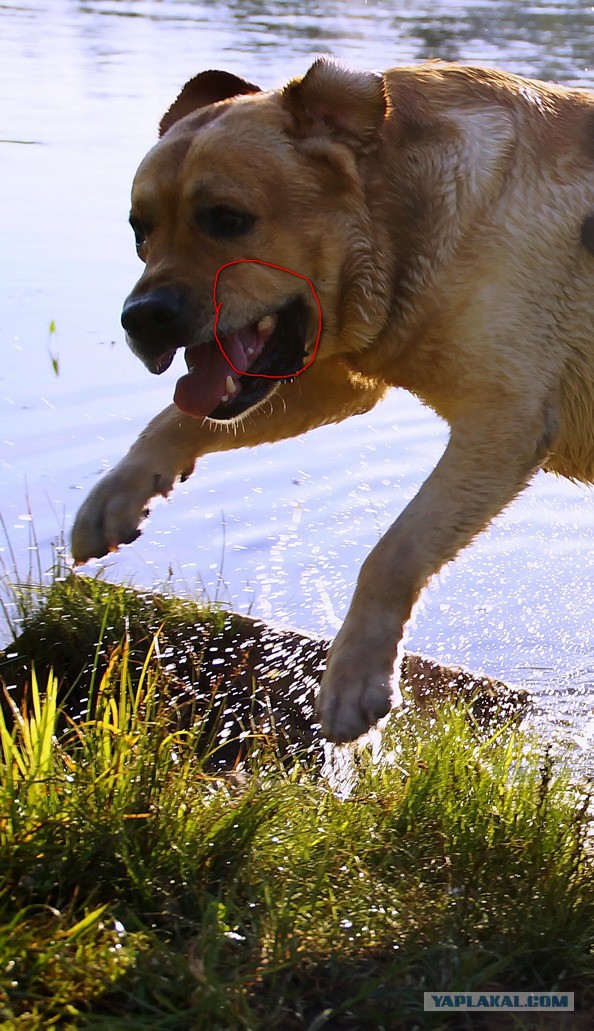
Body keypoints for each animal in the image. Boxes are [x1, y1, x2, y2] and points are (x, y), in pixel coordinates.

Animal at [72, 58, 594, 742]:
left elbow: (393, 551)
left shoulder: (503, 420)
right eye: (140, 230)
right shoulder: (340, 380)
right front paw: (116, 494)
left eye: (226, 218)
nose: (142, 318)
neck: (403, 222)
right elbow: (175, 419)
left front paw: (353, 679)